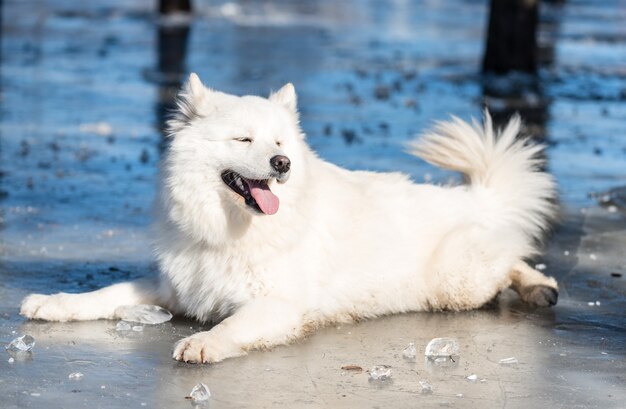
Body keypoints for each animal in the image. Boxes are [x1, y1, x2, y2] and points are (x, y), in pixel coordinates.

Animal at [22, 71, 556, 362]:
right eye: (244, 139)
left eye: (279, 142)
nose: (282, 163)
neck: (230, 231)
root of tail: (475, 198)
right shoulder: (175, 288)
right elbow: (106, 295)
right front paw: (52, 303)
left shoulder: (278, 304)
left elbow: (231, 326)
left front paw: (203, 344)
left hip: (455, 283)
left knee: (512, 260)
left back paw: (540, 287)